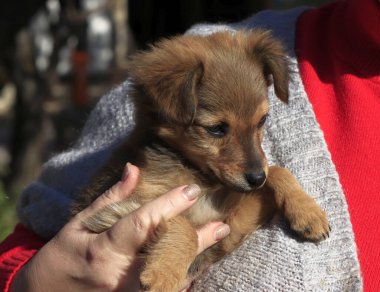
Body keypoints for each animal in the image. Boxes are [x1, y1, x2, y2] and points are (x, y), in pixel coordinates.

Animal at [71, 30, 330, 292]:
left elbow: (278, 171)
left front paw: (308, 212)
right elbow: (183, 225)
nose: (257, 178)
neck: (202, 178)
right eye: (216, 129)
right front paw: (163, 275)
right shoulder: (115, 211)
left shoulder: (232, 225)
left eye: (263, 120)